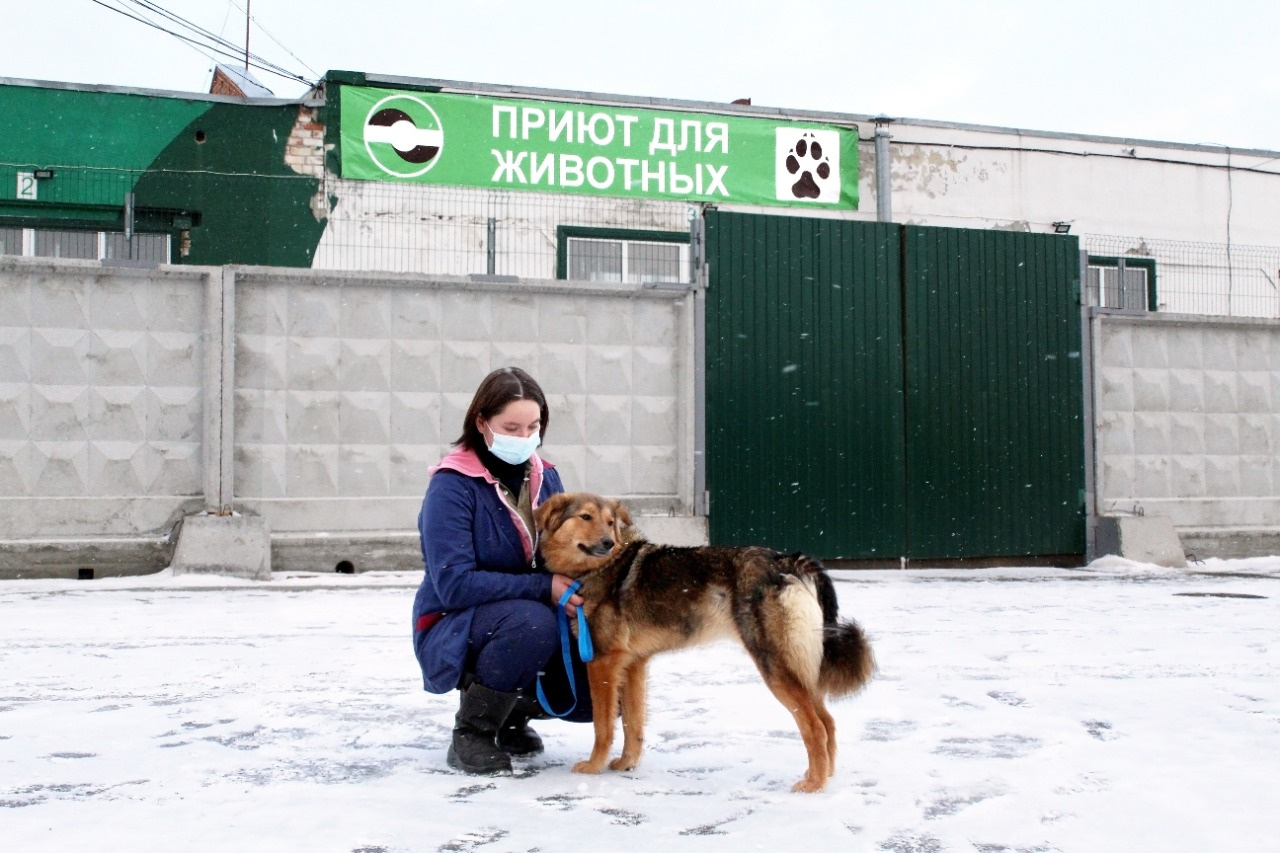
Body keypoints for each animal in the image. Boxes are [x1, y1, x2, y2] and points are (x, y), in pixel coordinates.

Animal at [535, 491, 875, 788]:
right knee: (828, 722)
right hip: (799, 665)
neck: (605, 567)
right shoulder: (632, 666)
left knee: (815, 727)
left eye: (610, 522)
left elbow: (603, 726)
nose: (608, 542)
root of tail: (789, 560)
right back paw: (824, 776)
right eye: (586, 517)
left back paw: (813, 786)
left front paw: (594, 766)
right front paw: (626, 764)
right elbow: (634, 723)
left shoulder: (601, 664)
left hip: (775, 669)